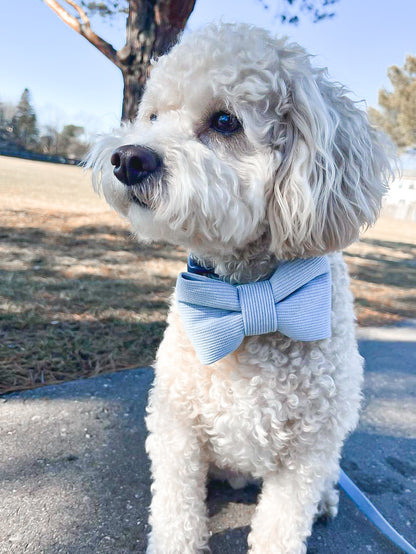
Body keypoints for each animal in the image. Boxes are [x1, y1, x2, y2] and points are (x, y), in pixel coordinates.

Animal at [88, 22, 394, 552]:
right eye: (152, 116)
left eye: (225, 121)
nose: (127, 158)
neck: (247, 296)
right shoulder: (177, 426)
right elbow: (176, 512)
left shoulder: (308, 451)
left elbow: (281, 525)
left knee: (326, 479)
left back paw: (326, 501)